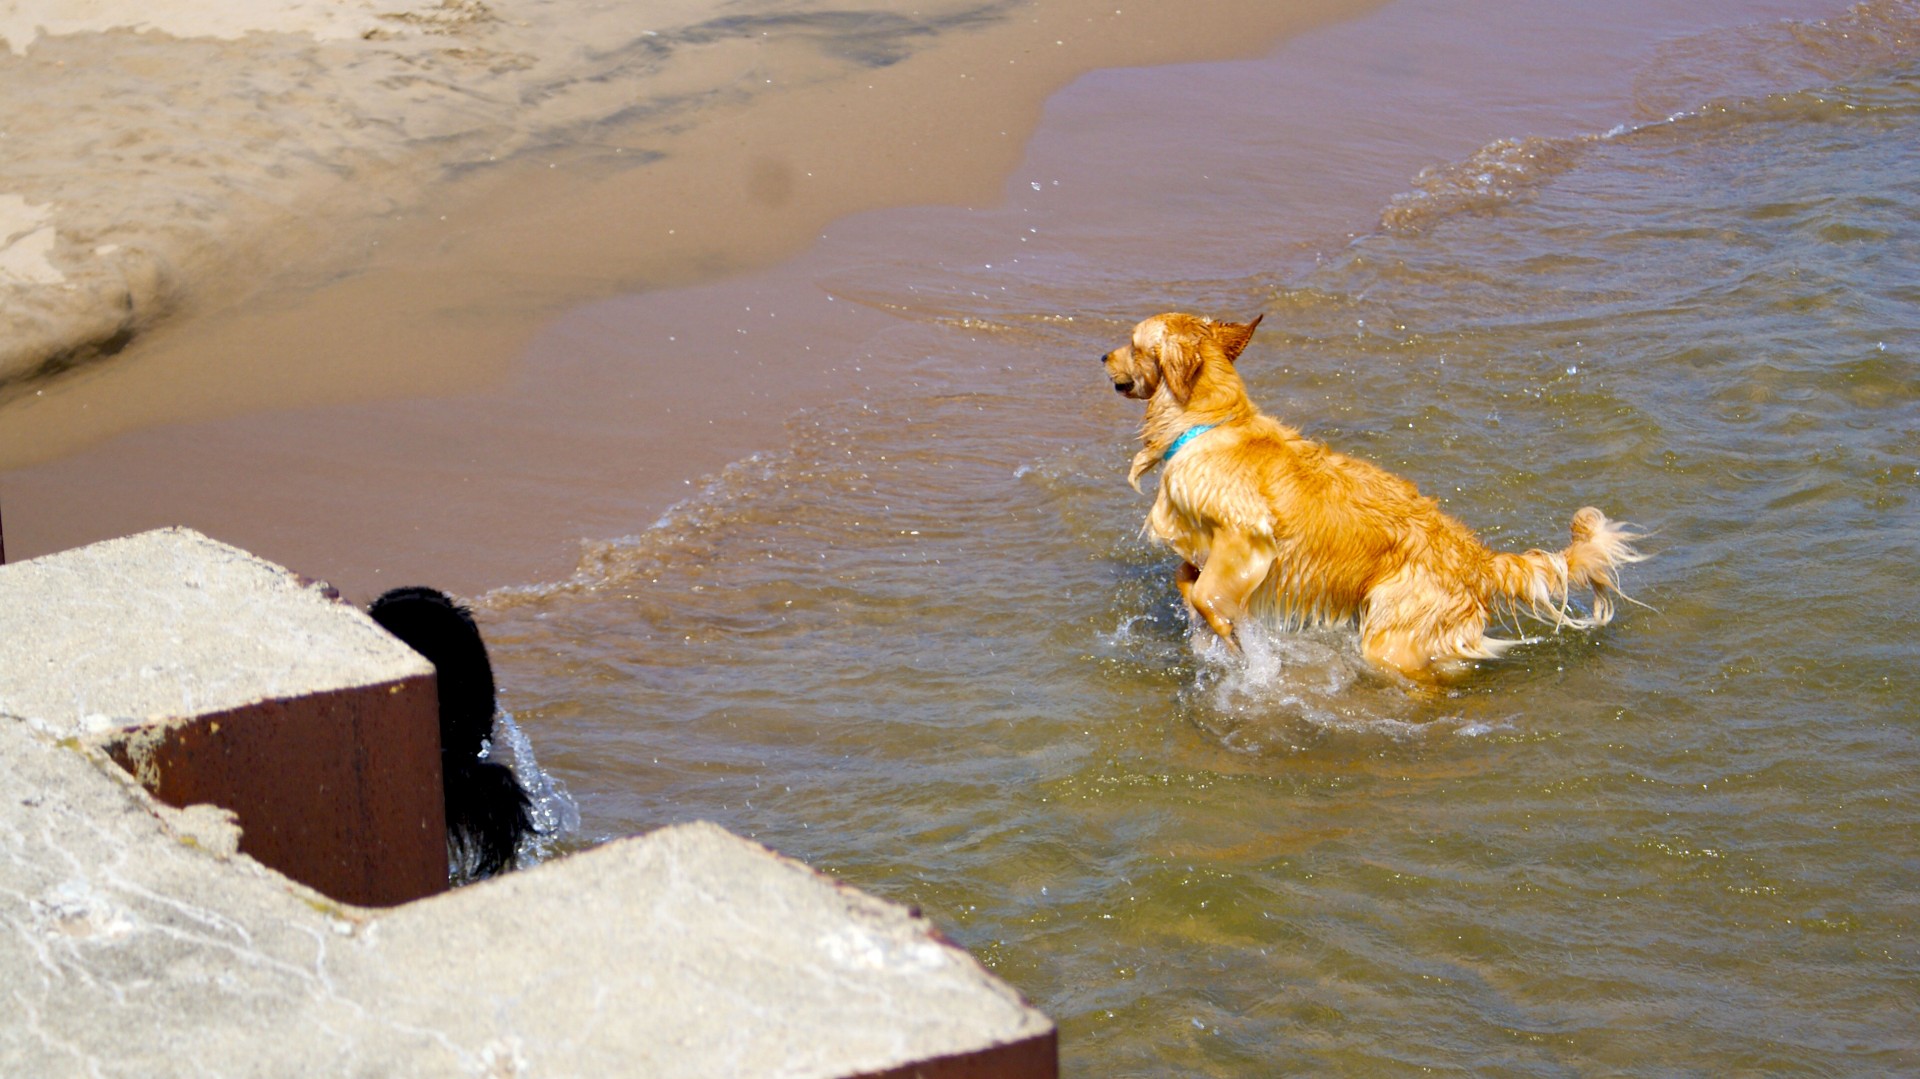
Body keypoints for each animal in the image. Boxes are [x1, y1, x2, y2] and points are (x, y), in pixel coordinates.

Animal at [1105, 311, 1643, 679]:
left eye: (1131, 342)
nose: (1102, 356)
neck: (1208, 424)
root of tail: (1477, 560)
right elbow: (1188, 579)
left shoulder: (1247, 536)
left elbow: (1210, 596)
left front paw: (1234, 643)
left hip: (1393, 636)